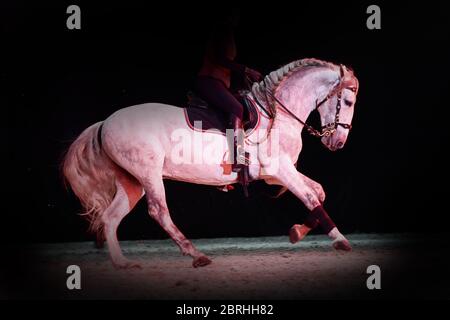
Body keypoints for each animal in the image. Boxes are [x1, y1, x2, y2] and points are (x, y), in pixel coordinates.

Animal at [62, 58, 358, 268]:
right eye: (347, 101)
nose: (338, 143)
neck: (277, 113)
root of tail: (105, 122)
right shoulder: (280, 169)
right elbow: (310, 196)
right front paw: (341, 240)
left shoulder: (276, 173)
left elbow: (319, 191)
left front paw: (297, 232)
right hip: (148, 174)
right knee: (158, 211)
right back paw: (196, 254)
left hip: (132, 180)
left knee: (111, 217)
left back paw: (122, 263)